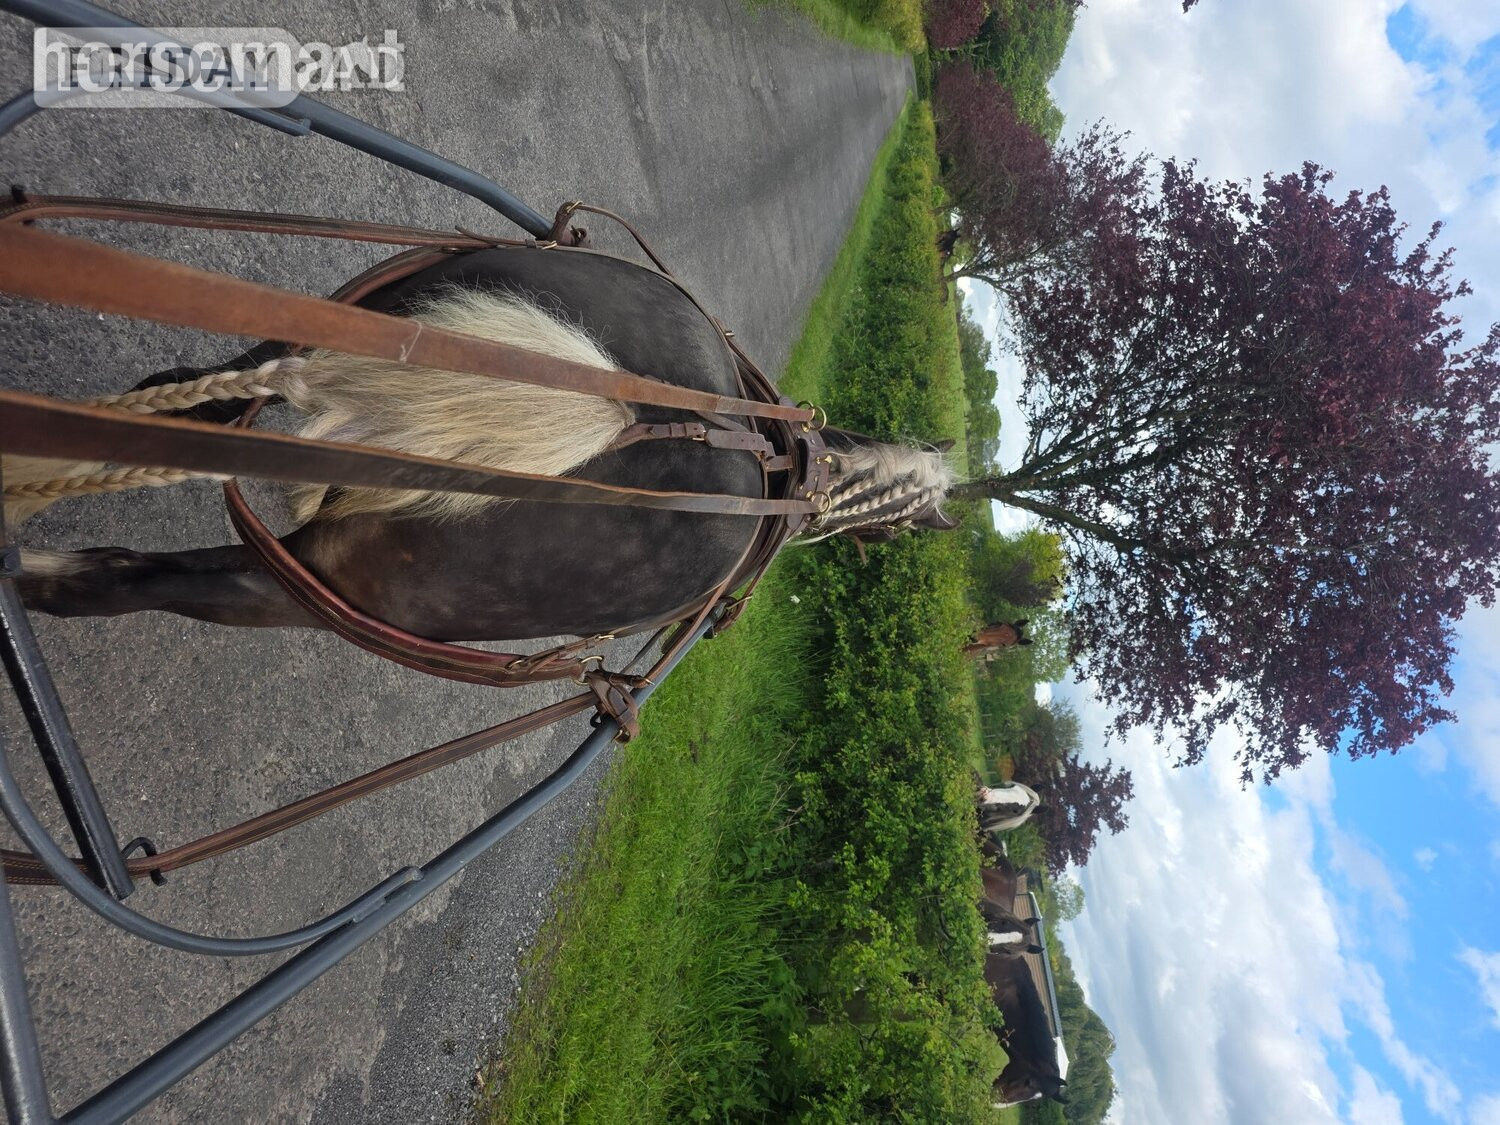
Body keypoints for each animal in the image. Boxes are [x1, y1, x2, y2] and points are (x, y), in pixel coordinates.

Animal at [9, 246, 960, 639]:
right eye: (899, 531)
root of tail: (616, 412)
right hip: (337, 590)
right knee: (137, 581)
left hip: (316, 338)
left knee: (195, 399)